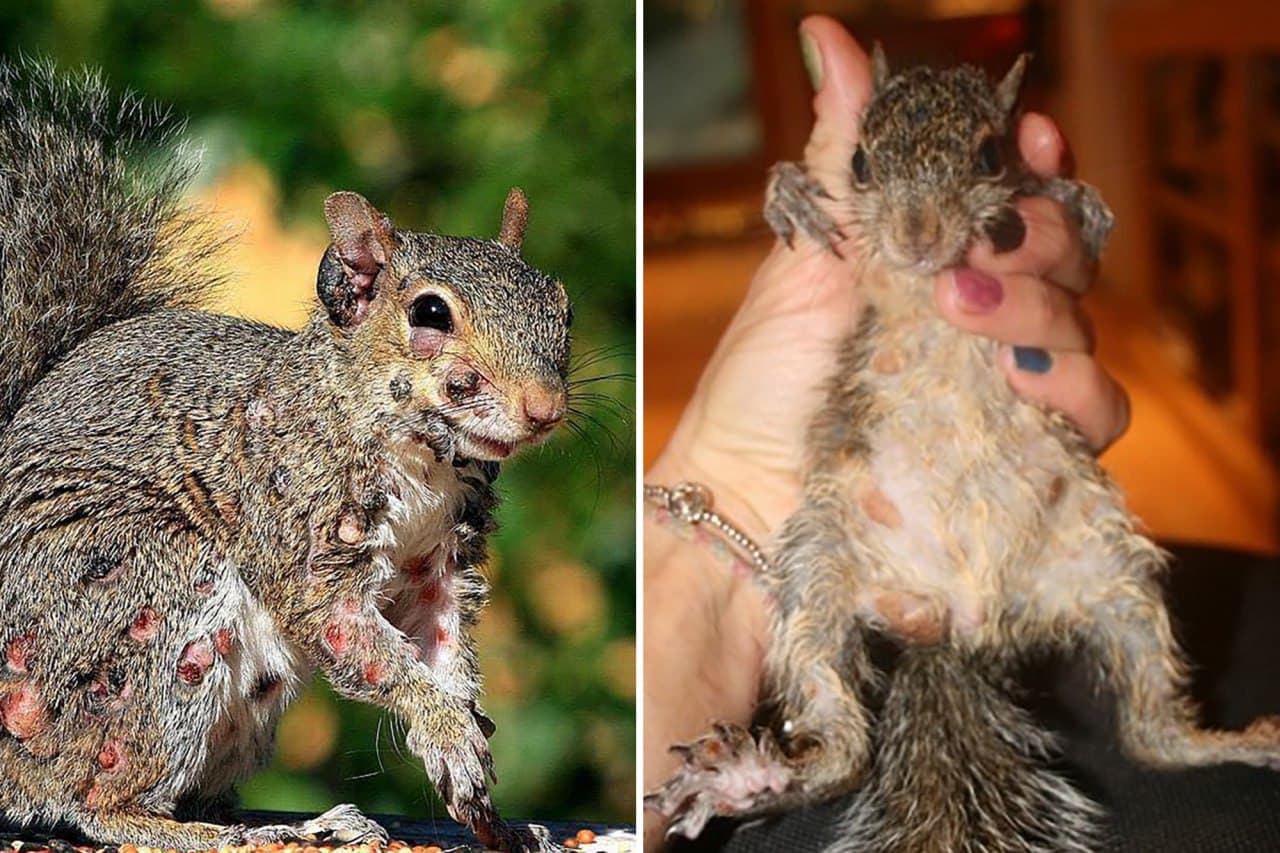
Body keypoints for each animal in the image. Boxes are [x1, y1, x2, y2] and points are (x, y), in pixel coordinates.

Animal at [0, 61, 570, 853]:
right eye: (429, 313)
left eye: (562, 306)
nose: (544, 409)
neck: (422, 458)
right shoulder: (301, 534)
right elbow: (357, 637)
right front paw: (447, 728)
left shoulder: (440, 562)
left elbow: (443, 646)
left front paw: (482, 786)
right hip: (140, 607)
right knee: (93, 800)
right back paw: (212, 833)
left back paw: (309, 823)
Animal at [645, 47, 1280, 852]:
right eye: (858, 161)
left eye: (988, 155)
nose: (917, 233)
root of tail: (957, 625)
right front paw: (789, 190)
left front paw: (1077, 202)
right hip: (819, 571)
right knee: (845, 741)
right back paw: (753, 779)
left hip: (1116, 576)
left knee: (1151, 736)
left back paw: (1231, 741)